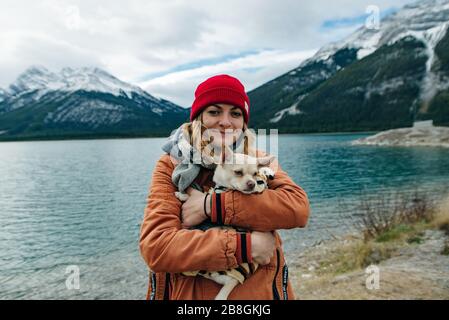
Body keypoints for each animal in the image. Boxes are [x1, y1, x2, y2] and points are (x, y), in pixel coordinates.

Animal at [174, 148, 272, 300]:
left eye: (255, 174)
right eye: (238, 172)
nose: (252, 184)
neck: (223, 188)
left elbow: (205, 197)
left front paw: (182, 195)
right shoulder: (211, 191)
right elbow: (204, 193)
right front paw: (182, 195)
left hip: (228, 276)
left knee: (228, 283)